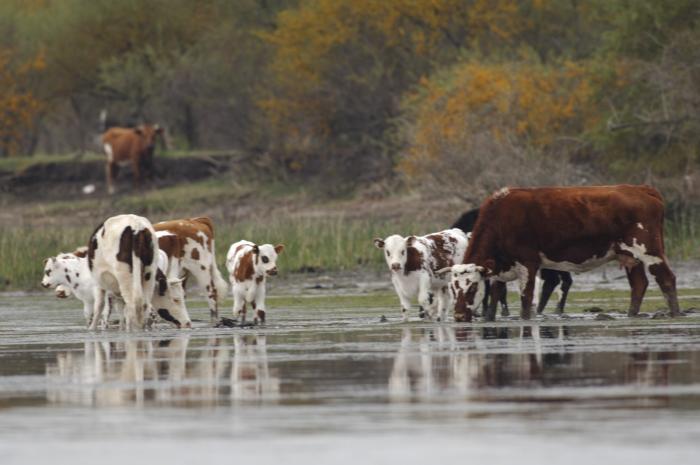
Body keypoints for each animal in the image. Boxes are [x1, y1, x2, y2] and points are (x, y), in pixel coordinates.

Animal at [440, 185, 680, 322]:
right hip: (629, 256)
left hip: (649, 249)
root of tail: (642, 189)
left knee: (666, 278)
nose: (459, 316)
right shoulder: (499, 267)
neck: (502, 217)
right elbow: (495, 298)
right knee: (639, 284)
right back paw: (631, 315)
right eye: (453, 288)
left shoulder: (528, 263)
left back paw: (675, 313)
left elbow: (526, 299)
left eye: (472, 288)